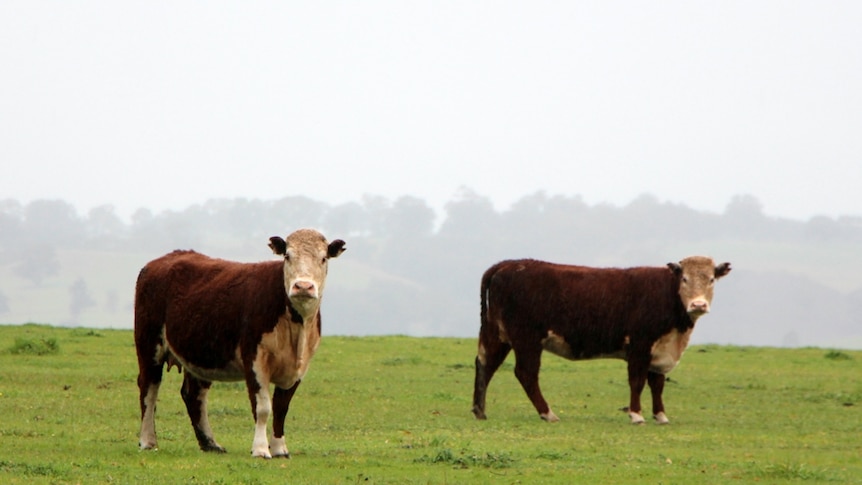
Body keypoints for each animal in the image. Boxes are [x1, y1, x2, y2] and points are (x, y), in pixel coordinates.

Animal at [135, 229, 344, 456]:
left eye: (323, 258)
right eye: (288, 256)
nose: (303, 286)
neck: (297, 329)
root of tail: (162, 260)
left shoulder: (300, 366)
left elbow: (281, 408)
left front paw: (280, 448)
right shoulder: (254, 357)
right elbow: (263, 407)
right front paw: (260, 449)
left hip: (201, 351)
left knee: (193, 394)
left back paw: (210, 444)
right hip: (149, 344)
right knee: (149, 389)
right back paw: (148, 440)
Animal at [472, 255, 728, 422]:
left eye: (711, 279)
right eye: (684, 279)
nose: (698, 304)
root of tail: (509, 264)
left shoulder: (661, 350)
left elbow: (657, 384)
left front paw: (660, 416)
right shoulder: (640, 345)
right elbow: (637, 381)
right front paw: (636, 414)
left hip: (499, 334)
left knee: (486, 363)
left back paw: (479, 410)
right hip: (526, 339)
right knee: (525, 373)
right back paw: (547, 413)